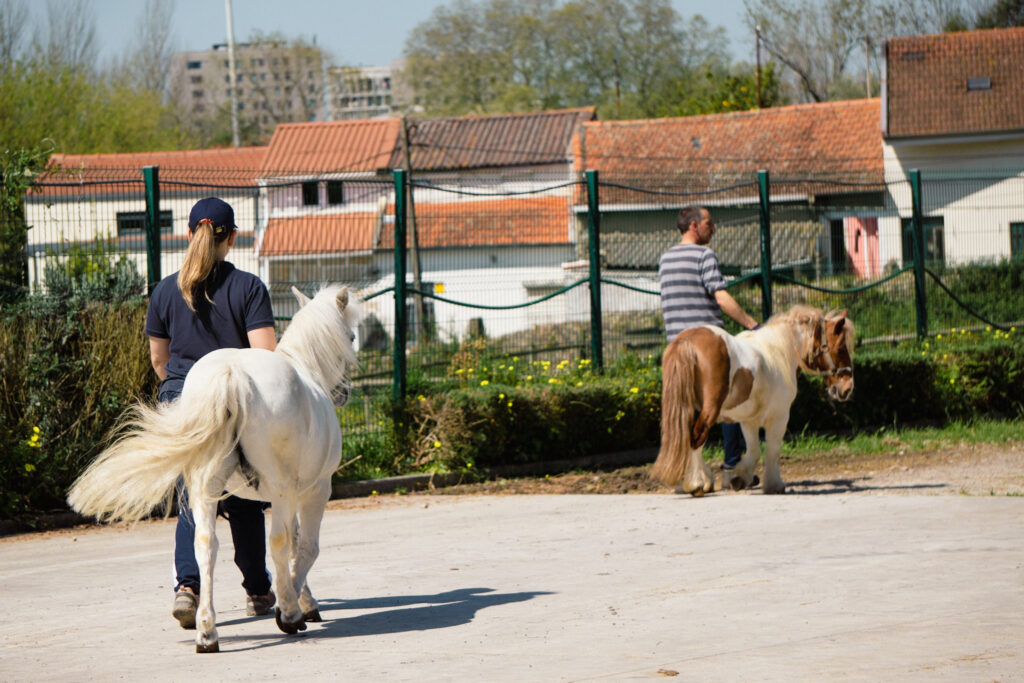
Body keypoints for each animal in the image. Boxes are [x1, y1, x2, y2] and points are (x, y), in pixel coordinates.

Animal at [67, 284, 360, 653]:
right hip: (281, 489)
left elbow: (293, 546)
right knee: (276, 541)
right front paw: (295, 605)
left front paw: (301, 600)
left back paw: (206, 631)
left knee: (204, 545)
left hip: (205, 489)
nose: (343, 392)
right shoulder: (313, 490)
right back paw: (286, 616)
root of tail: (231, 373)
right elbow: (303, 548)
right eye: (351, 336)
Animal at [652, 305, 855, 497]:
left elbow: (754, 451)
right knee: (696, 437)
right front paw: (774, 485)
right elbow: (772, 449)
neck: (779, 351)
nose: (847, 388)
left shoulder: (748, 420)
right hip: (709, 410)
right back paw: (695, 484)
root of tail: (687, 340)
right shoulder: (779, 417)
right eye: (840, 349)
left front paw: (739, 477)